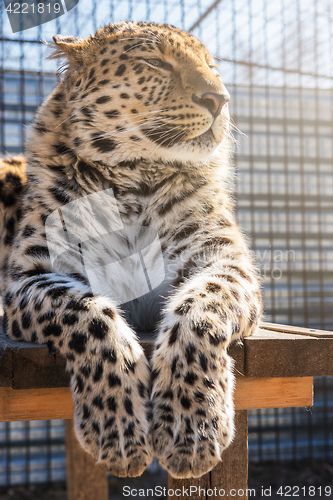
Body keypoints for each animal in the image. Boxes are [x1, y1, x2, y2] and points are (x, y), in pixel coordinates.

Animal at [0, 21, 262, 478]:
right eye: (155, 62)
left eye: (212, 67)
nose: (220, 99)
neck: (137, 180)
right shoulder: (33, 275)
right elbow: (90, 314)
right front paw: (118, 431)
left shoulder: (224, 262)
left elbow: (199, 312)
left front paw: (192, 427)